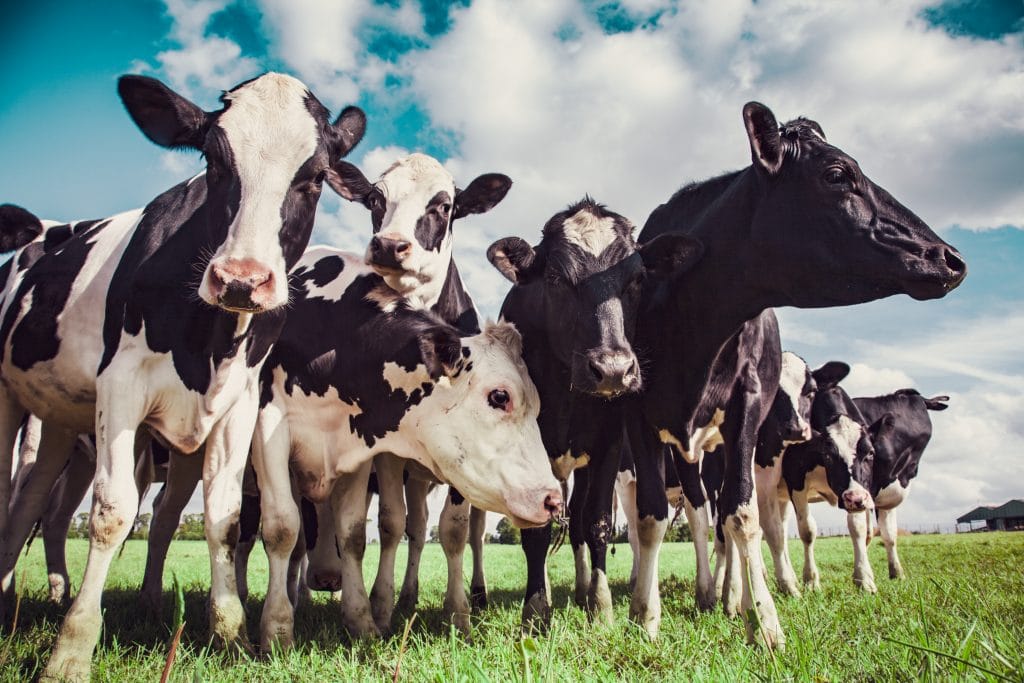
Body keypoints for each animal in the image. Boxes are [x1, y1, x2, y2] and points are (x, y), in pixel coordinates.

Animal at [0, 72, 366, 681]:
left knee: (32, 503)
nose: (241, 279)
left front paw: (229, 634)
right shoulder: (121, 386)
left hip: (59, 423)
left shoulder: (240, 403)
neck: (209, 341)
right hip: (10, 399)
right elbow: (112, 512)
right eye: (214, 161)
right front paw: (71, 650)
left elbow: (225, 518)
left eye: (315, 177)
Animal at [250, 246, 562, 651]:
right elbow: (283, 528)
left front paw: (363, 620)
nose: (553, 500)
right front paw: (277, 630)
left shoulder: (359, 452)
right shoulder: (268, 425)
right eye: (499, 396)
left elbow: (354, 534)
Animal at [486, 197, 699, 629]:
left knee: (579, 522)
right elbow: (536, 530)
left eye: (638, 279)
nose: (613, 369)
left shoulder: (608, 444)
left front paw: (600, 607)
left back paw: (583, 589)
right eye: (554, 277)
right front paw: (537, 610)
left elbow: (596, 521)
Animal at [625, 101, 966, 648]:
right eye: (837, 174)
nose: (950, 258)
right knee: (701, 515)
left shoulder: (746, 411)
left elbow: (743, 516)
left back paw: (732, 596)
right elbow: (653, 518)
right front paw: (646, 616)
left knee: (729, 518)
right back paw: (713, 592)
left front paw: (763, 619)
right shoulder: (636, 413)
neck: (691, 320)